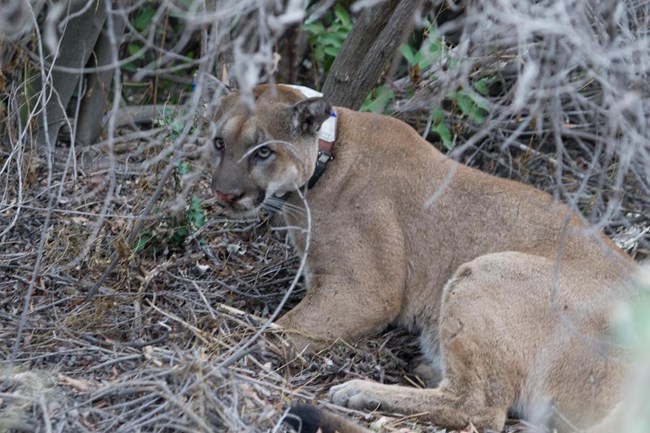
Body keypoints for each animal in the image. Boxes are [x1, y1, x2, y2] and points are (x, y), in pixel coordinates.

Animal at [202, 82, 632, 430]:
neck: (326, 157)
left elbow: (280, 330)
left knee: (479, 409)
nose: (224, 194)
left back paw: (360, 391)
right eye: (219, 143)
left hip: (486, 272)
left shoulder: (364, 292)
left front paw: (239, 341)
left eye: (263, 152)